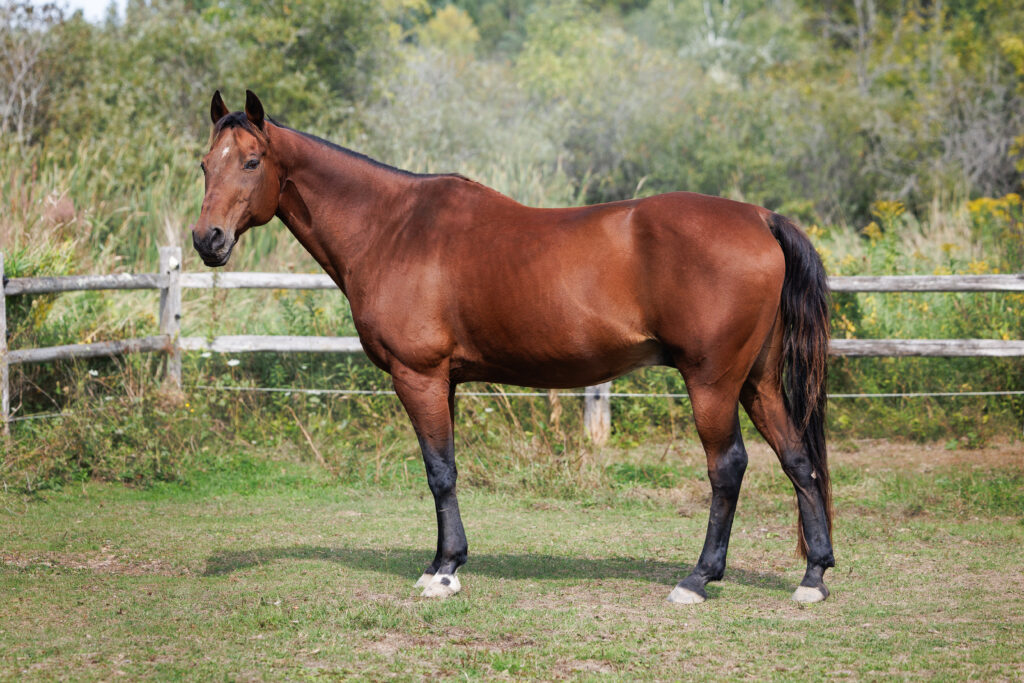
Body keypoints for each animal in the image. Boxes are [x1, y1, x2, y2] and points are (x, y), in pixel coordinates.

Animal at [193, 90, 834, 604]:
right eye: (204, 164)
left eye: (252, 161)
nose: (207, 239)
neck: (393, 227)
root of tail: (759, 217)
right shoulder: (444, 381)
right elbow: (444, 469)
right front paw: (440, 561)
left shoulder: (419, 376)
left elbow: (440, 471)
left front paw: (445, 573)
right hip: (757, 381)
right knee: (797, 459)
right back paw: (814, 577)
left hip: (713, 382)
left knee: (728, 468)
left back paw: (698, 579)